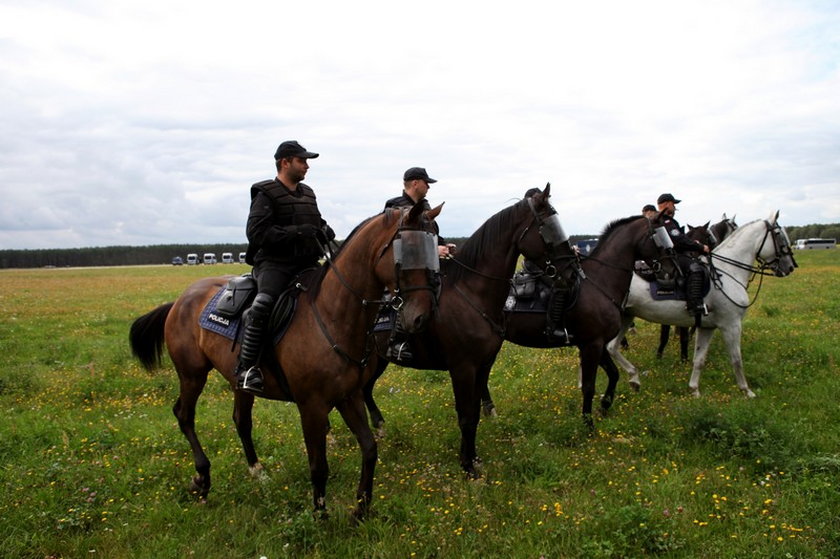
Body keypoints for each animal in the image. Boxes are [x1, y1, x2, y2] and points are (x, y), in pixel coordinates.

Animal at [130, 202, 440, 520]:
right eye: (408, 250)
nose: (421, 316)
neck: (331, 315)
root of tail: (180, 301)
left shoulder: (348, 396)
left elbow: (369, 449)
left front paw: (361, 510)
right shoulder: (311, 406)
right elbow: (319, 466)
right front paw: (320, 516)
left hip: (237, 382)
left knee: (241, 420)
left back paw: (257, 471)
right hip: (192, 374)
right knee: (184, 415)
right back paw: (202, 478)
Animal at [608, 210, 796, 398]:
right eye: (779, 235)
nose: (791, 266)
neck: (727, 271)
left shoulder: (707, 327)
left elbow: (699, 359)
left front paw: (694, 390)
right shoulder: (731, 325)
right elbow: (736, 359)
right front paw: (746, 391)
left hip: (626, 316)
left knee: (612, 347)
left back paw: (634, 378)